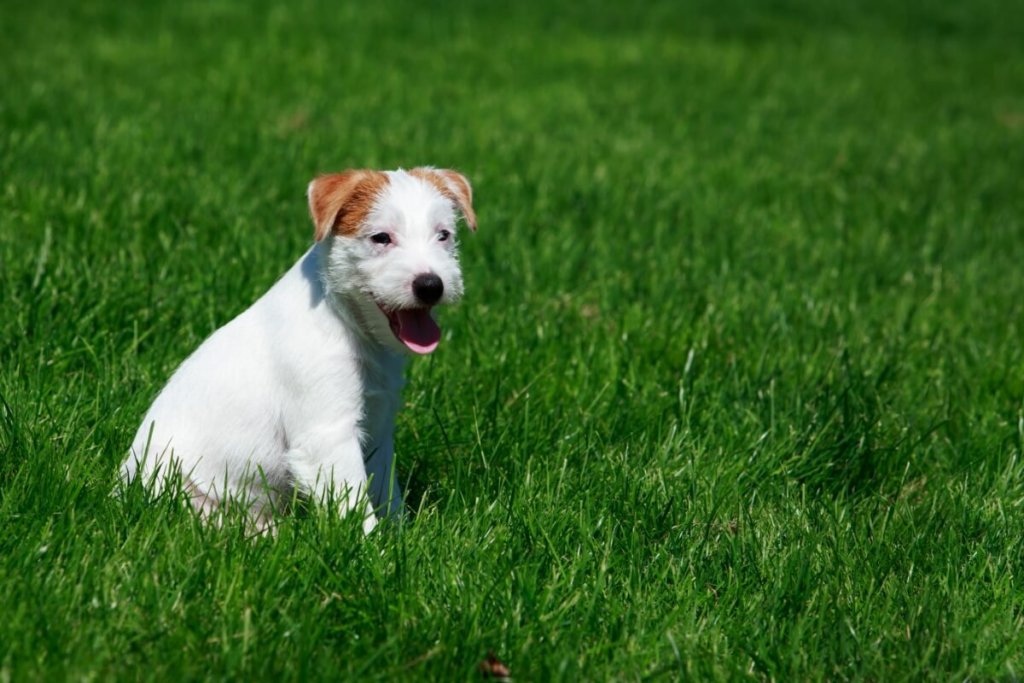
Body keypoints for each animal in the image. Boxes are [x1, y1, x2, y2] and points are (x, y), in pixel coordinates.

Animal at [118, 167, 475, 532]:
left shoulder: (378, 428)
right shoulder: (329, 433)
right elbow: (354, 502)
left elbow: (386, 489)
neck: (347, 319)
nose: (431, 285)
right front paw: (372, 544)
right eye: (381, 238)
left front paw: (400, 532)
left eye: (443, 235)